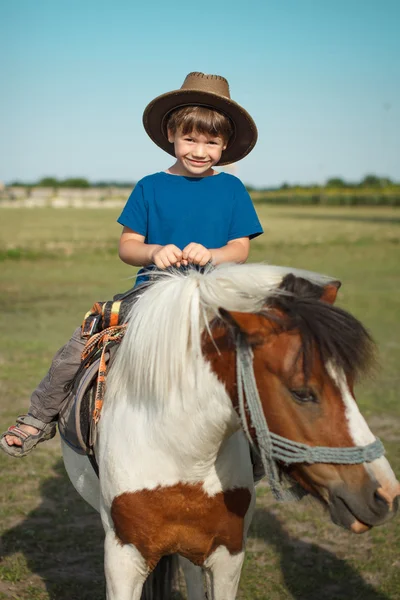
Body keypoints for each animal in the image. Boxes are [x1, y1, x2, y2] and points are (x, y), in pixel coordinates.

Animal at [61, 264, 398, 596]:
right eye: (302, 392)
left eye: (350, 384)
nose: (386, 494)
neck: (181, 454)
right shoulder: (124, 560)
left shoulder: (227, 554)